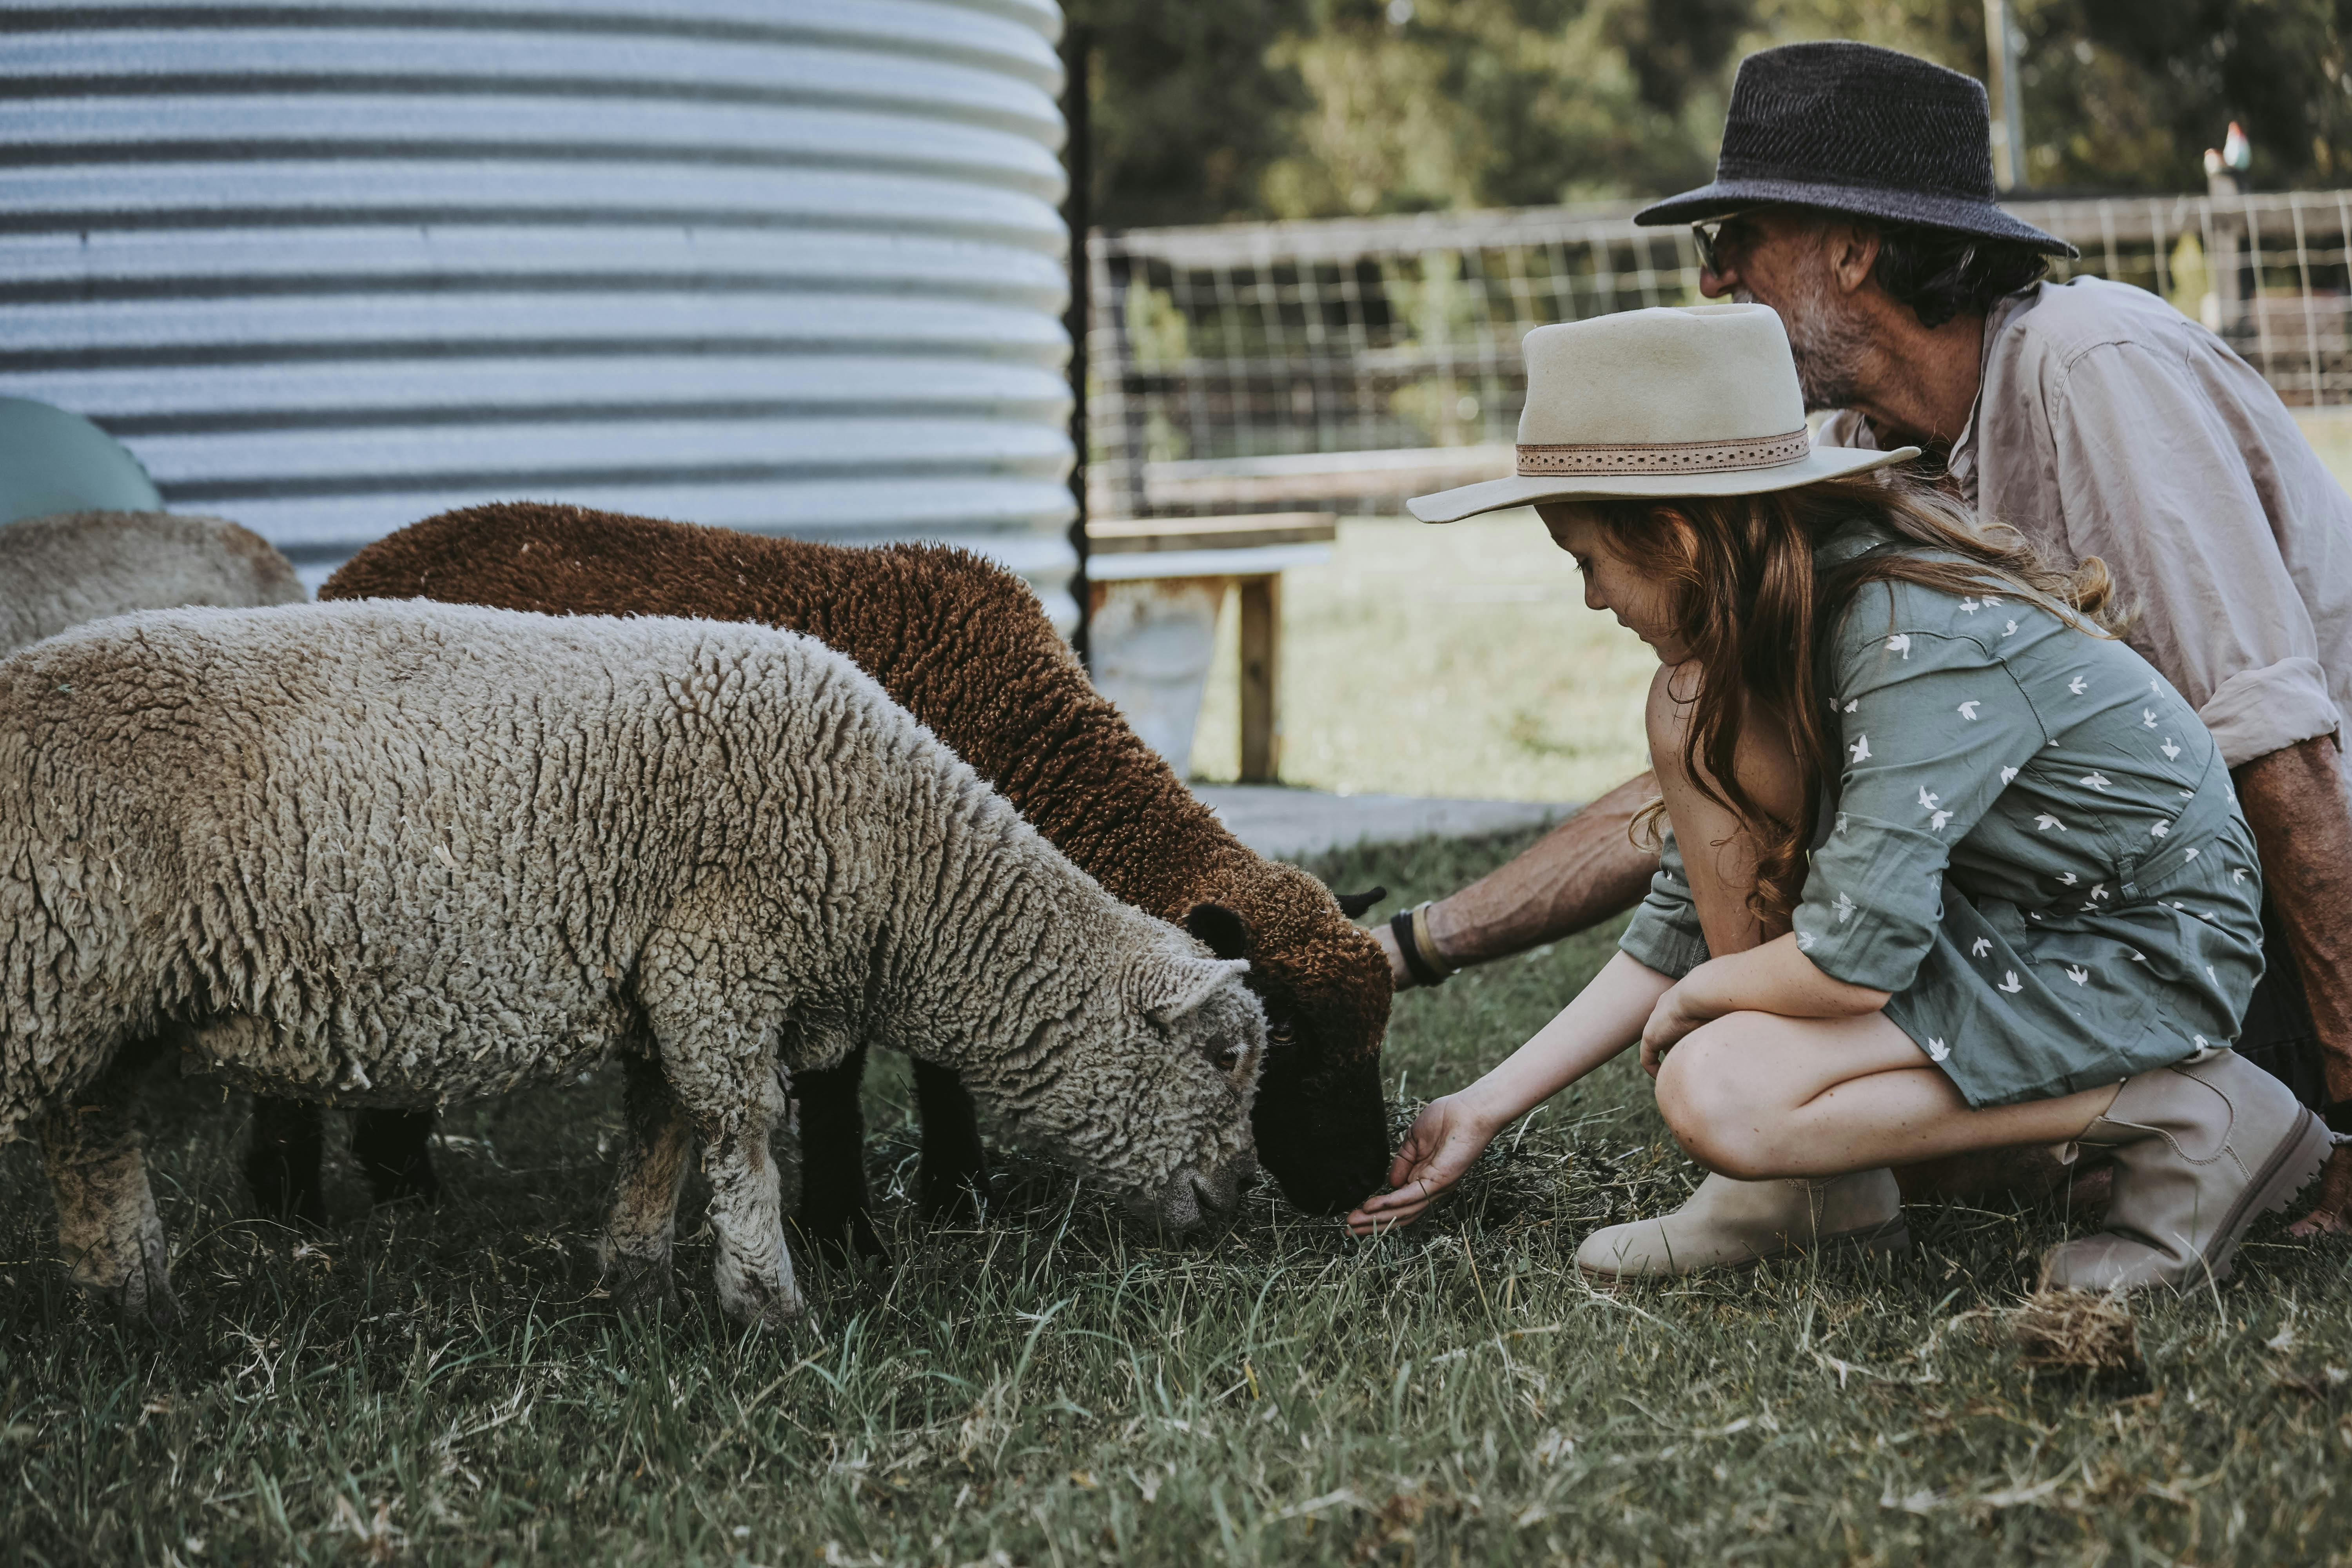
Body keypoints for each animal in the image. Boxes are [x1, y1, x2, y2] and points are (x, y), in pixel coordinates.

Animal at [0, 600, 1270, 1327]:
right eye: (1220, 1057)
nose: (1238, 1198)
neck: (903, 870)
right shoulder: (723, 954)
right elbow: (740, 1127)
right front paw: (770, 1308)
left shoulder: (665, 968)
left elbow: (662, 1127)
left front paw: (636, 1276)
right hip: (39, 967)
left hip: (94, 993)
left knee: (91, 1134)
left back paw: (137, 1307)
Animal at [298, 502, 1393, 1256]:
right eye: (1285, 1040)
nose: (1365, 1185)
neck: (1006, 726)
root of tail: (351, 569)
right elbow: (837, 1088)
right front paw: (846, 1233)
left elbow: (943, 1065)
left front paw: (959, 1195)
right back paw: (373, 1197)